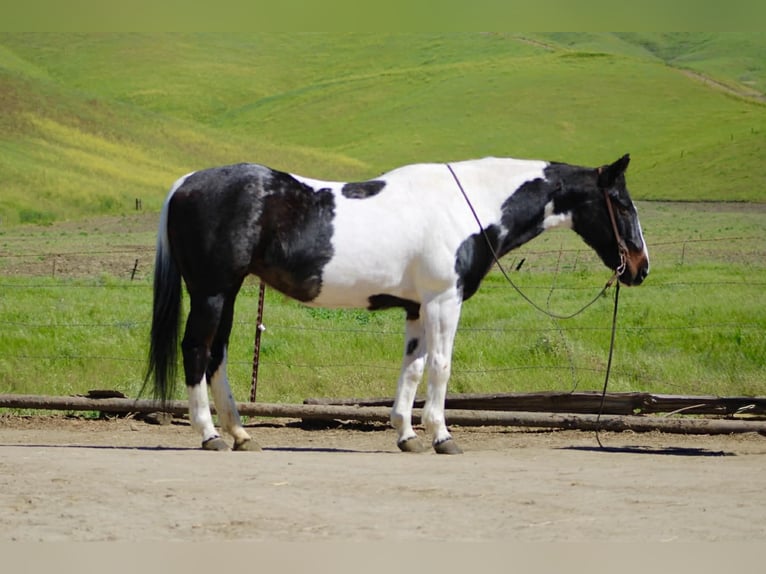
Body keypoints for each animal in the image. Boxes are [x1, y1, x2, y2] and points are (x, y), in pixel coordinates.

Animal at [145, 154, 649, 454]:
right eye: (623, 204)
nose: (640, 267)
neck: (468, 204)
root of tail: (185, 182)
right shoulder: (445, 300)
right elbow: (441, 366)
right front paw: (442, 435)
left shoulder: (417, 307)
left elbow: (413, 367)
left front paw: (407, 434)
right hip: (211, 291)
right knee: (196, 350)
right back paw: (209, 434)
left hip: (228, 292)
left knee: (218, 355)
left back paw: (240, 432)